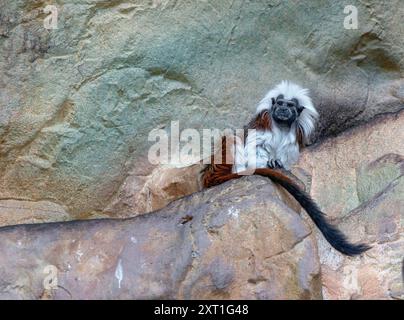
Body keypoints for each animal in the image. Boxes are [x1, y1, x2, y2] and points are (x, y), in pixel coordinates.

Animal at [204, 81, 370, 256]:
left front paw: (278, 163)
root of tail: (212, 174)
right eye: (279, 103)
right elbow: (256, 144)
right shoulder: (264, 122)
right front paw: (265, 163)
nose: (283, 110)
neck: (282, 125)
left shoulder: (295, 133)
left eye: (290, 105)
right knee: (233, 137)